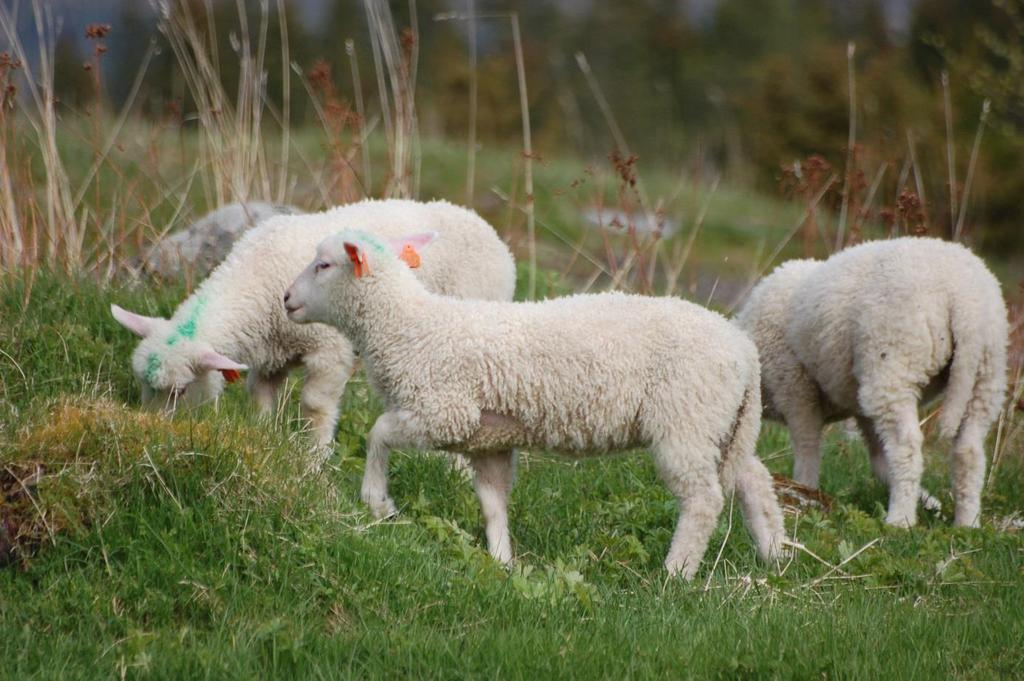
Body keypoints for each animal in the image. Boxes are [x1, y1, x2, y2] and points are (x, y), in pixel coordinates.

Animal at [110, 196, 520, 462]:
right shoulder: (270, 355)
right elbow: (260, 397)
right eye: (143, 385)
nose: (152, 434)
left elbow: (315, 405)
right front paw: (264, 436)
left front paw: (316, 456)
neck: (252, 280)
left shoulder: (329, 349)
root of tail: (482, 224)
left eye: (179, 392)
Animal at [280, 229, 782, 577]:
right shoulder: (486, 439)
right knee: (754, 479)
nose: (285, 299)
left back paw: (675, 573)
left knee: (703, 500)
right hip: (722, 422)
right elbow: (492, 502)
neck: (409, 328)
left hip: (686, 418)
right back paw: (774, 553)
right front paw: (503, 561)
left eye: (323, 265)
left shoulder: (444, 411)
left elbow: (378, 432)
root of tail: (742, 348)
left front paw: (377, 502)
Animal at [737, 236, 1007, 528]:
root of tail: (963, 299)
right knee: (968, 451)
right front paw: (930, 502)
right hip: (985, 373)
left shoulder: (795, 386)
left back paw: (900, 520)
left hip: (892, 362)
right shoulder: (861, 411)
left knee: (905, 446)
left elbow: (807, 446)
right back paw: (966, 523)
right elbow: (880, 462)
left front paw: (805, 488)